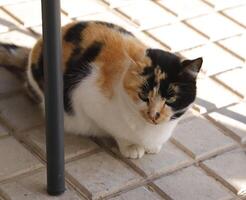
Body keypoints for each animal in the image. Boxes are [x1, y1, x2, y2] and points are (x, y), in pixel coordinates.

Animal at [0, 20, 202, 158]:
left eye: (170, 99)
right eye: (143, 96)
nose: (154, 115)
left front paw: (152, 148)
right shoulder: (85, 98)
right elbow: (117, 132)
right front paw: (131, 147)